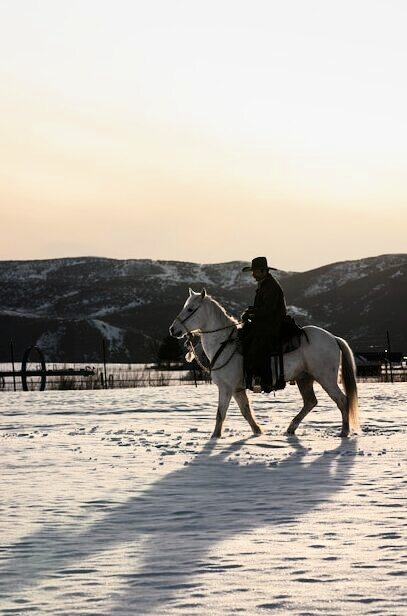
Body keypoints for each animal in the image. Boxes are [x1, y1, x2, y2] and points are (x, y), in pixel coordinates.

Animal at [170, 288, 360, 438]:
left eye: (190, 309)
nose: (173, 330)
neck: (225, 343)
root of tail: (333, 338)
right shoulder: (237, 389)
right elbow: (246, 411)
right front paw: (258, 432)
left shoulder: (226, 387)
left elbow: (220, 413)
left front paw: (214, 438)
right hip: (304, 378)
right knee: (310, 402)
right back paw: (291, 429)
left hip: (325, 378)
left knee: (342, 400)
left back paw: (344, 432)